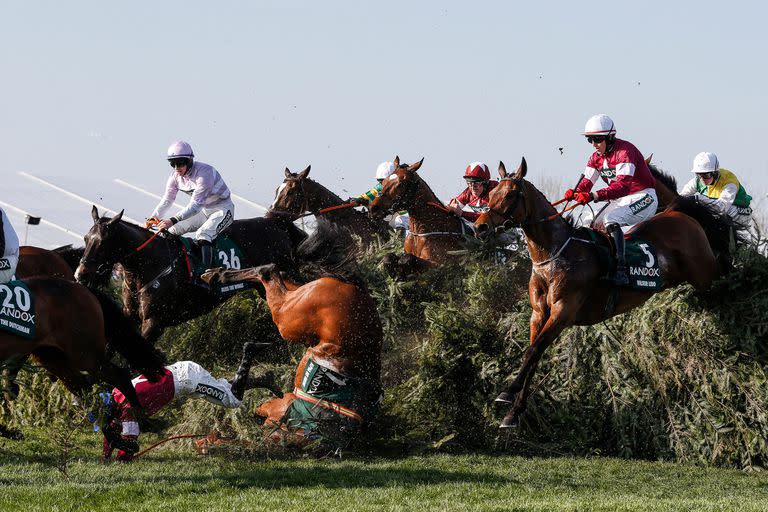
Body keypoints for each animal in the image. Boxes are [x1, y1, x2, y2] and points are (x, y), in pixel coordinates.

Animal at [75, 205, 304, 344]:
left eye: (102, 242)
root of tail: (275, 223)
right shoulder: (129, 317)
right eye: (86, 239)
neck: (147, 266)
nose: (81, 274)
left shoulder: (154, 323)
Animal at [202, 221, 382, 452]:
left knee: (269, 271)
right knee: (275, 272)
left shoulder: (277, 405)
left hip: (287, 315)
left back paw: (219, 274)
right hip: (297, 303)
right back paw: (218, 274)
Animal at [474, 157, 732, 428]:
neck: (555, 255)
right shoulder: (538, 313)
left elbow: (533, 351)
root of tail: (679, 213)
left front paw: (507, 392)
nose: (479, 227)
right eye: (491, 193)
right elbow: (533, 354)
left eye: (510, 194)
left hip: (705, 273)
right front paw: (513, 412)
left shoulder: (563, 311)